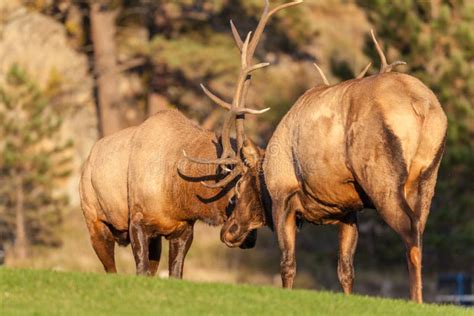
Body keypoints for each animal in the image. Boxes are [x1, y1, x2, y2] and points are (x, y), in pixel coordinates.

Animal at [77, 0, 300, 276]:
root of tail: (88, 160)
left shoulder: (182, 229)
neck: (177, 193)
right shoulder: (137, 221)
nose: (241, 237)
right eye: (236, 191)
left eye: (266, 196)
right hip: (95, 221)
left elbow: (174, 273)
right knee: (110, 269)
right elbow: (140, 270)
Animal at [220, 30, 446, 304]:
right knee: (420, 228)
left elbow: (287, 264)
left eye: (239, 186)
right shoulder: (348, 211)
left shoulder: (283, 196)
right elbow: (346, 271)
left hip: (383, 176)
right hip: (427, 177)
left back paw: (416, 300)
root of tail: (421, 105)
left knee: (410, 229)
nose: (228, 231)